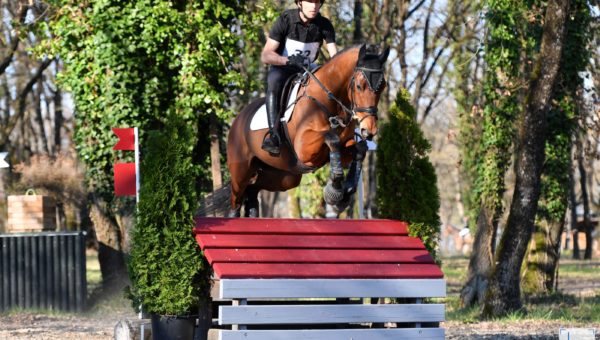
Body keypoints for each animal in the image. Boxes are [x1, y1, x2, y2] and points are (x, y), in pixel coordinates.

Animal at [225, 43, 390, 216]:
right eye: (359, 86)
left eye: (383, 86)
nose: (369, 130)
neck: (331, 101)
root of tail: (238, 118)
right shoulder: (304, 148)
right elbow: (332, 138)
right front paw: (335, 191)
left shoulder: (344, 146)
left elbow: (359, 149)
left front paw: (346, 190)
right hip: (240, 171)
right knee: (236, 200)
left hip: (283, 176)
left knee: (253, 189)